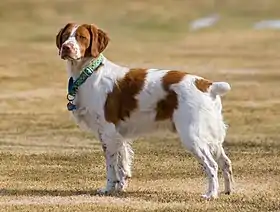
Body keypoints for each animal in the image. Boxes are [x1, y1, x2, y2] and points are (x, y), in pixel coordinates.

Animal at [55, 23, 233, 199]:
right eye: (66, 36)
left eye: (81, 37)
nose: (66, 48)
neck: (90, 73)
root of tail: (207, 85)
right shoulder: (118, 135)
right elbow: (122, 164)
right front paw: (120, 188)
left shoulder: (108, 132)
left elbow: (111, 167)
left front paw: (108, 189)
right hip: (211, 136)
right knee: (225, 162)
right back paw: (228, 191)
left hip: (192, 136)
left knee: (212, 165)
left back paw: (211, 194)